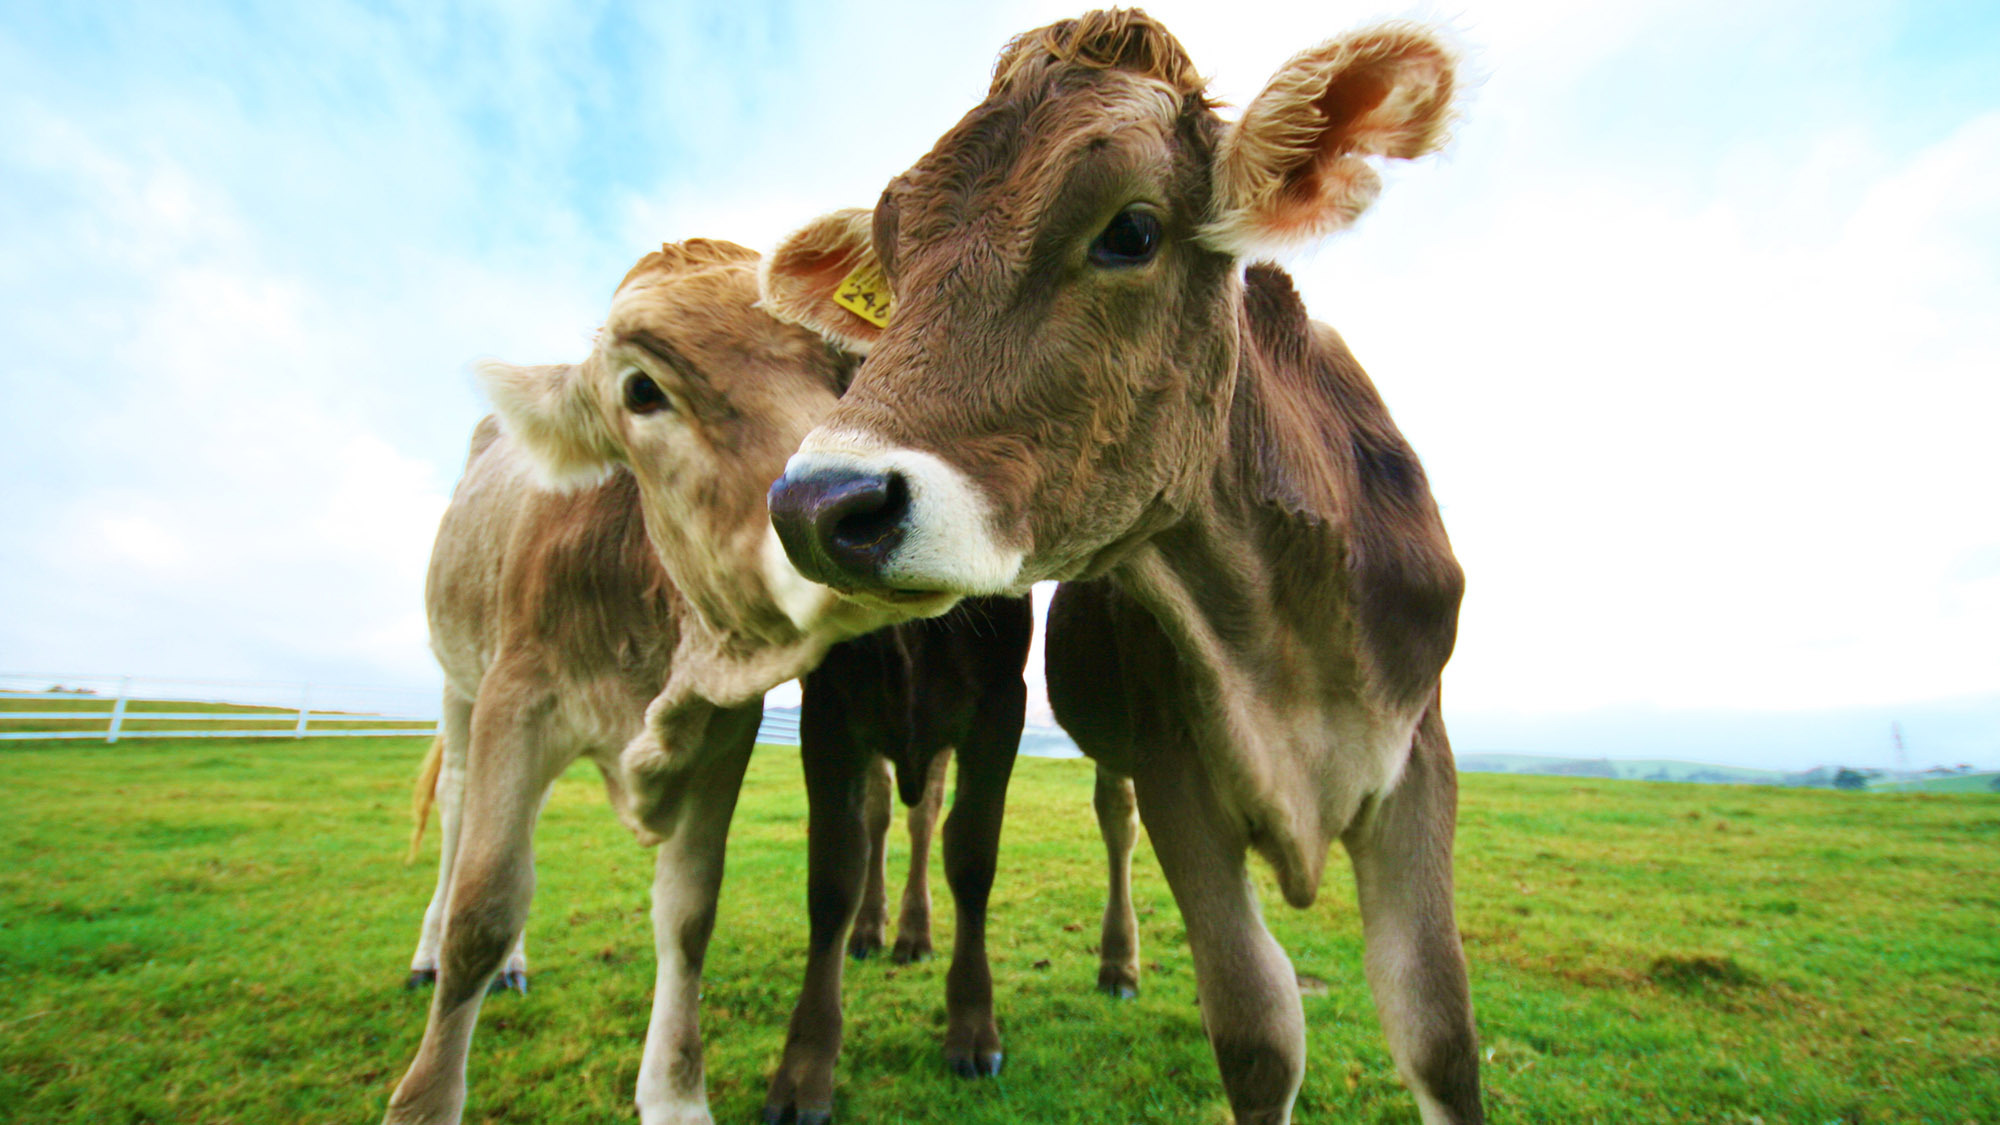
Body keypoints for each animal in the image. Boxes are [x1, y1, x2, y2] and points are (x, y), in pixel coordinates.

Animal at [764, 10, 1488, 1120]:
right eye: (891, 269)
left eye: (1132, 231)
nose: (818, 506)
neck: (1284, 624)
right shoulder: (1174, 760)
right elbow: (1258, 1031)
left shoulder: (1417, 756)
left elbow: (1439, 1034)